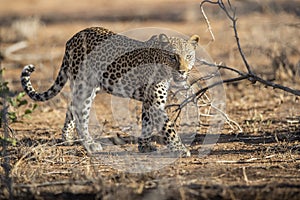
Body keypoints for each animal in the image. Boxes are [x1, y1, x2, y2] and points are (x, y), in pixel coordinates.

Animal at [21, 27, 199, 158]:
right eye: (173, 57)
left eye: (189, 56)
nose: (183, 71)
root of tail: (72, 39)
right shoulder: (155, 102)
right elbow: (168, 127)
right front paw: (180, 149)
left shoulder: (149, 101)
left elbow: (146, 122)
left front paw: (145, 146)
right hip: (84, 87)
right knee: (80, 113)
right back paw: (89, 143)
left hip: (90, 88)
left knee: (71, 107)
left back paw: (67, 139)